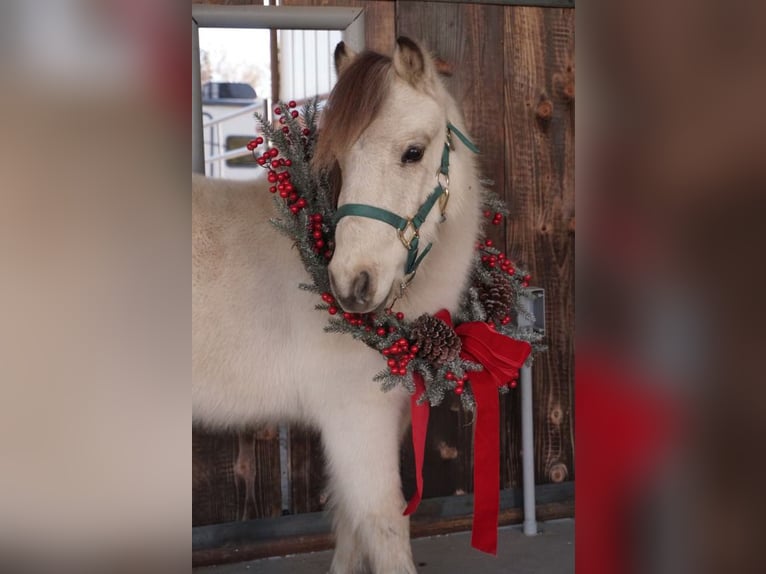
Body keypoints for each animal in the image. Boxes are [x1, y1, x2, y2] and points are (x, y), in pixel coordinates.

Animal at [195, 37, 486, 574]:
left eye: (413, 152)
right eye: (341, 165)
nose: (353, 283)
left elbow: (352, 523)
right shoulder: (356, 419)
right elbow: (385, 525)